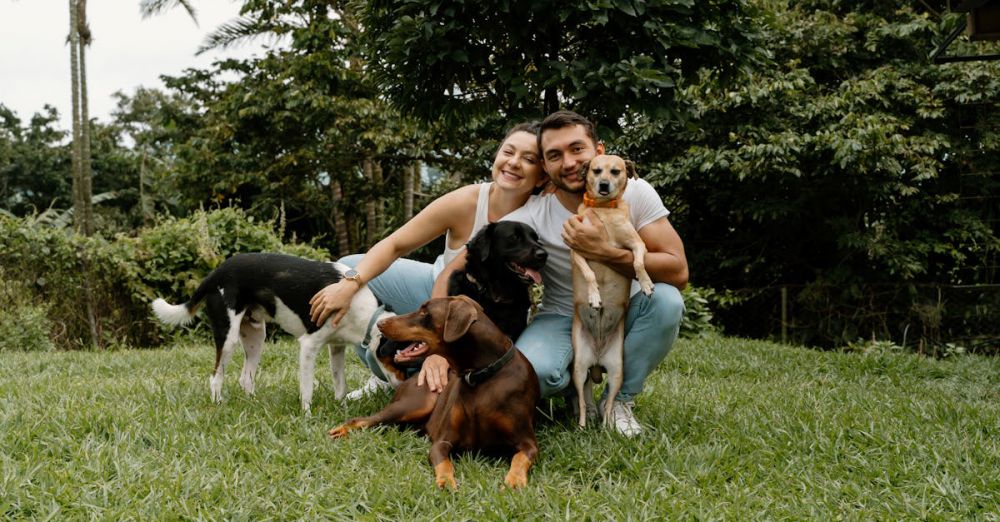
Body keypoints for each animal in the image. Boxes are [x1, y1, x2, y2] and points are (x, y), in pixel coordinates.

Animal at [151, 253, 398, 410]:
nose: (399, 390)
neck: (366, 313)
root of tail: (216, 273)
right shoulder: (309, 345)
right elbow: (307, 389)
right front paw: (307, 417)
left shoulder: (336, 347)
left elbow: (340, 384)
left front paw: (342, 408)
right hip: (228, 337)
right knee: (215, 377)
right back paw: (218, 404)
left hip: (256, 337)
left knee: (245, 378)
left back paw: (253, 404)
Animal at [328, 296, 540, 488]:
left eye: (425, 313)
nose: (380, 323)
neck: (481, 376)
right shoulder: (442, 441)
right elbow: (444, 463)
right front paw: (446, 482)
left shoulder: (528, 442)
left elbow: (520, 458)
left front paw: (515, 481)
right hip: (417, 404)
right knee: (361, 420)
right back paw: (340, 430)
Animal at [572, 153, 656, 426]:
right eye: (596, 170)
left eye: (616, 171)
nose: (604, 185)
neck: (603, 210)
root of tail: (598, 358)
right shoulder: (577, 250)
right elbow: (589, 274)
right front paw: (594, 296)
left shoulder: (636, 244)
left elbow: (638, 262)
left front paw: (646, 283)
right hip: (578, 369)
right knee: (582, 401)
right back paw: (582, 425)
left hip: (618, 371)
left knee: (608, 405)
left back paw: (609, 427)